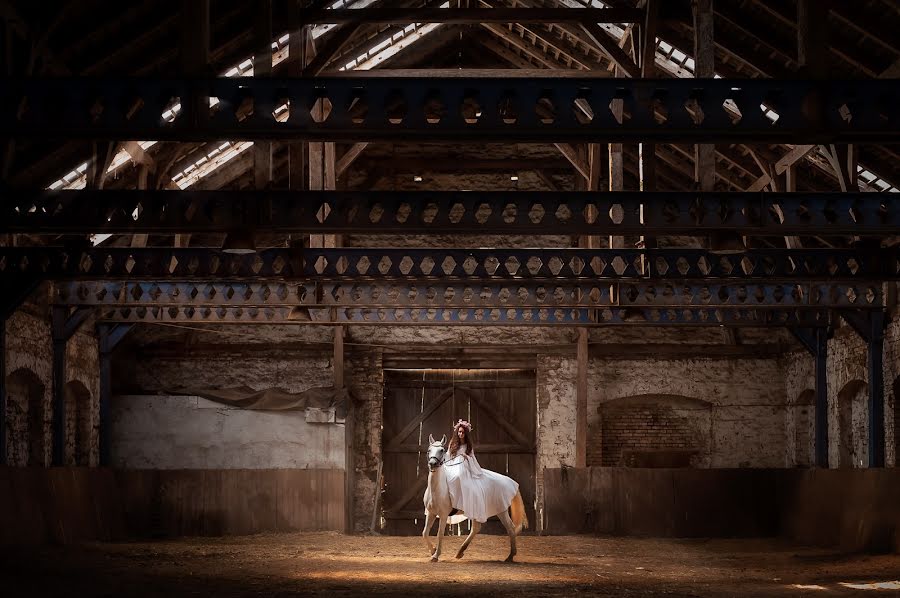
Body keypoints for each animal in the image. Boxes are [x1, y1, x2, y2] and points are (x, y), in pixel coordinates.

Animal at [422, 436, 528, 564]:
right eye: (429, 450)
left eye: (442, 450)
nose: (432, 464)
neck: (438, 489)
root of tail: (509, 481)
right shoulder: (431, 513)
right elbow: (425, 532)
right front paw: (432, 550)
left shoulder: (443, 515)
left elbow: (440, 534)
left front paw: (436, 555)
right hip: (477, 511)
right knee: (476, 528)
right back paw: (460, 552)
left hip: (501, 511)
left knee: (510, 528)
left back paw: (510, 556)